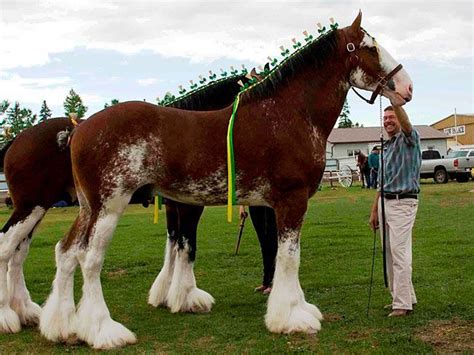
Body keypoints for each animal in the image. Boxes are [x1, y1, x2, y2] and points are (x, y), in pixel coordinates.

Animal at [38, 13, 412, 350]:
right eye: (369, 47)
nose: (407, 87)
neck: (289, 114)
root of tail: (79, 129)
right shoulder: (291, 201)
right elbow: (289, 257)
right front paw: (290, 317)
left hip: (88, 208)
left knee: (66, 251)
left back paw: (61, 327)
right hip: (109, 206)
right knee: (89, 259)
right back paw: (103, 331)